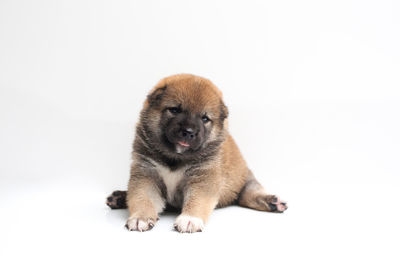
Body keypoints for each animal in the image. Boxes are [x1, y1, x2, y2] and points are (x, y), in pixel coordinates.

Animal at [106, 74, 288, 233]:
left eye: (205, 118)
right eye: (174, 110)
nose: (188, 132)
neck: (175, 157)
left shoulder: (203, 178)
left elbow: (197, 201)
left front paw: (189, 219)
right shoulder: (146, 174)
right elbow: (142, 198)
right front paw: (140, 218)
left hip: (245, 179)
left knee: (248, 193)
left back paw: (273, 202)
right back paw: (120, 197)